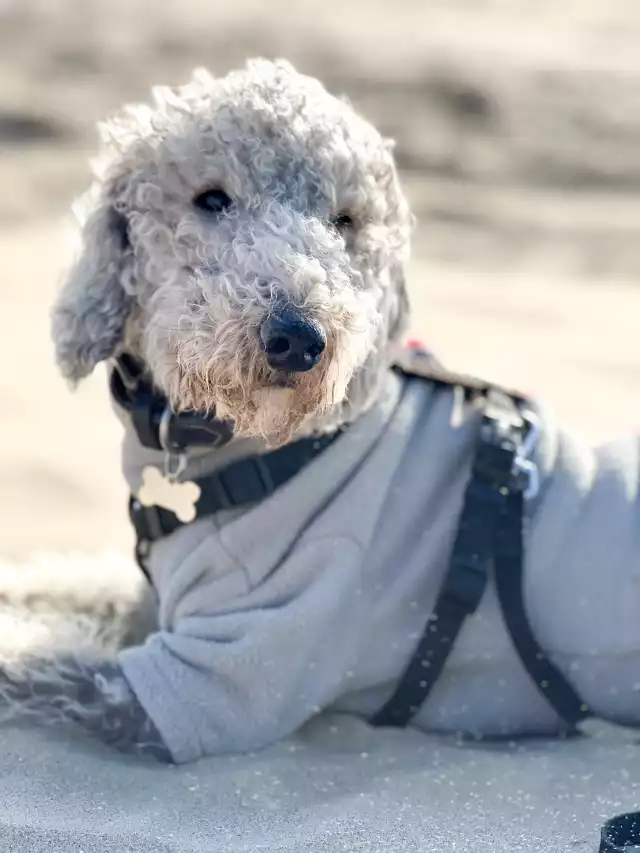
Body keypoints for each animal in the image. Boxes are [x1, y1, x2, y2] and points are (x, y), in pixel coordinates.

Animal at [2, 60, 636, 764]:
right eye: (211, 199)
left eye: (345, 221)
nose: (299, 339)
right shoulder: (157, 602)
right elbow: (68, 584)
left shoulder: (212, 674)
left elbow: (35, 664)